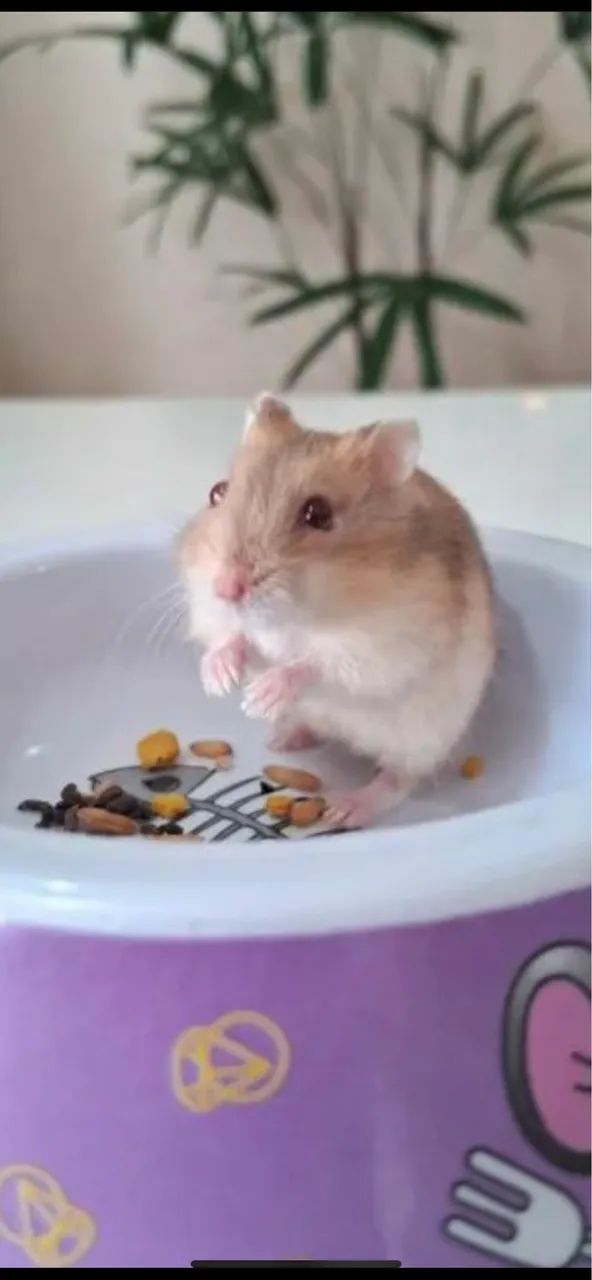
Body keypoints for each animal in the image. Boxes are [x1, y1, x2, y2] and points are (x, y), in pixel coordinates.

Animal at [178, 392, 495, 829]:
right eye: (217, 493)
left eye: (318, 513)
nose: (225, 588)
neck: (293, 618)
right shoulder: (217, 615)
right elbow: (231, 637)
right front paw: (221, 682)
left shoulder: (377, 649)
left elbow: (314, 665)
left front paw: (258, 699)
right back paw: (282, 737)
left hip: (424, 736)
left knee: (399, 779)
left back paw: (345, 808)